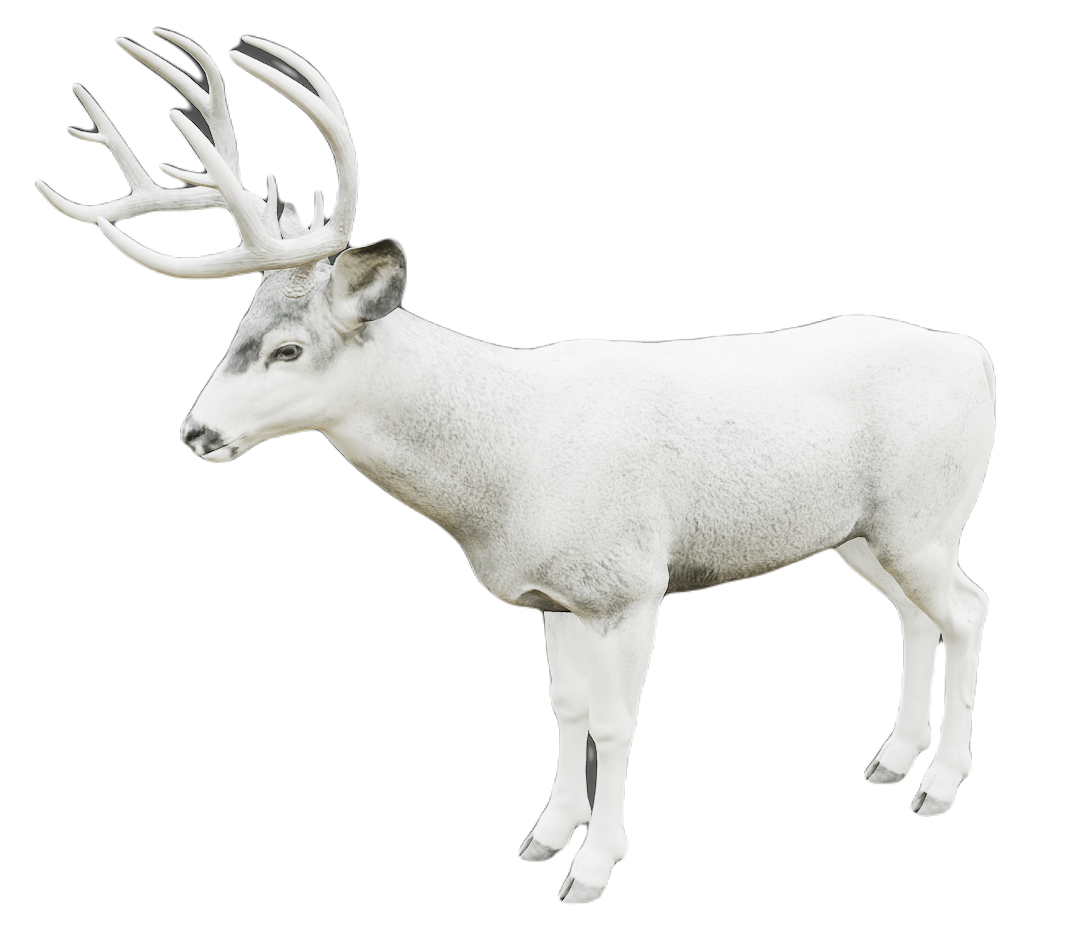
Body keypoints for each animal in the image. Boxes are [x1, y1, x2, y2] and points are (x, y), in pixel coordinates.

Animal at [37, 29, 995, 904]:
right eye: (238, 330)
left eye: (286, 350)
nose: (196, 433)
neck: (509, 467)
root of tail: (977, 356)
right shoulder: (552, 591)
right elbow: (565, 707)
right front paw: (545, 833)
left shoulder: (630, 580)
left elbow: (615, 721)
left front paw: (594, 866)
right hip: (866, 532)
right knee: (914, 616)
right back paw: (893, 759)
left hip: (926, 515)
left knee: (967, 607)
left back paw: (940, 784)